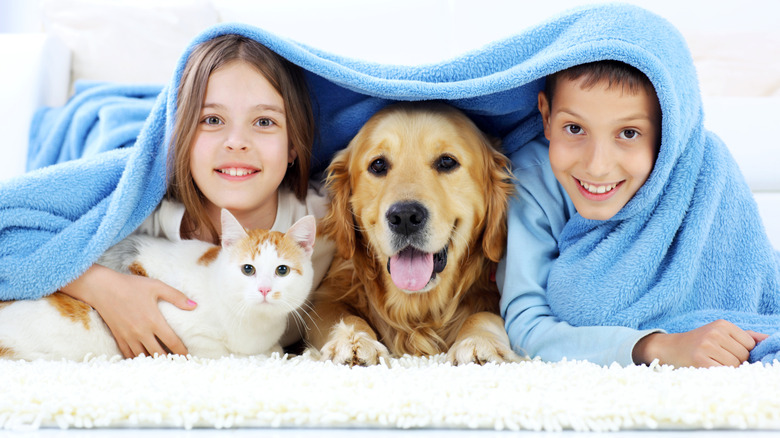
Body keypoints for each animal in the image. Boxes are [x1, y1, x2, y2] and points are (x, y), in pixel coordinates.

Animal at [1, 210, 316, 362]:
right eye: (247, 269)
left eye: (282, 270)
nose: (264, 290)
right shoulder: (179, 325)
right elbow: (223, 353)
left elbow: (274, 348)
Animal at [306, 102, 524, 366]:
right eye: (378, 165)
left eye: (447, 162)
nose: (405, 217)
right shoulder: (327, 293)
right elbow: (341, 314)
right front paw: (352, 340)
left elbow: (484, 315)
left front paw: (478, 341)